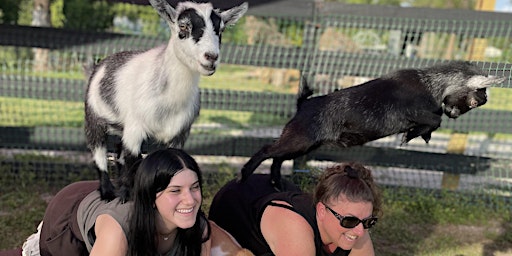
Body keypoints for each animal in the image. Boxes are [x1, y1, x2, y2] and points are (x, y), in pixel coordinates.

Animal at [84, 0, 248, 202]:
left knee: (118, 152)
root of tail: (98, 66)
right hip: (93, 116)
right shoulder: (135, 127)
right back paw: (107, 192)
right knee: (99, 152)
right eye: (183, 26)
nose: (211, 57)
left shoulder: (180, 133)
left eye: (221, 29)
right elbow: (132, 160)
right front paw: (128, 196)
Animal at [240, 60, 504, 188]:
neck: (430, 83)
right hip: (298, 138)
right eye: (476, 99)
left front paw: (417, 135)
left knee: (277, 158)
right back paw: (244, 176)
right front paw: (411, 135)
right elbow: (434, 120)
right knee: (266, 151)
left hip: (304, 145)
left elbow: (432, 123)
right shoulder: (417, 111)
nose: (455, 115)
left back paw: (276, 183)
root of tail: (303, 104)